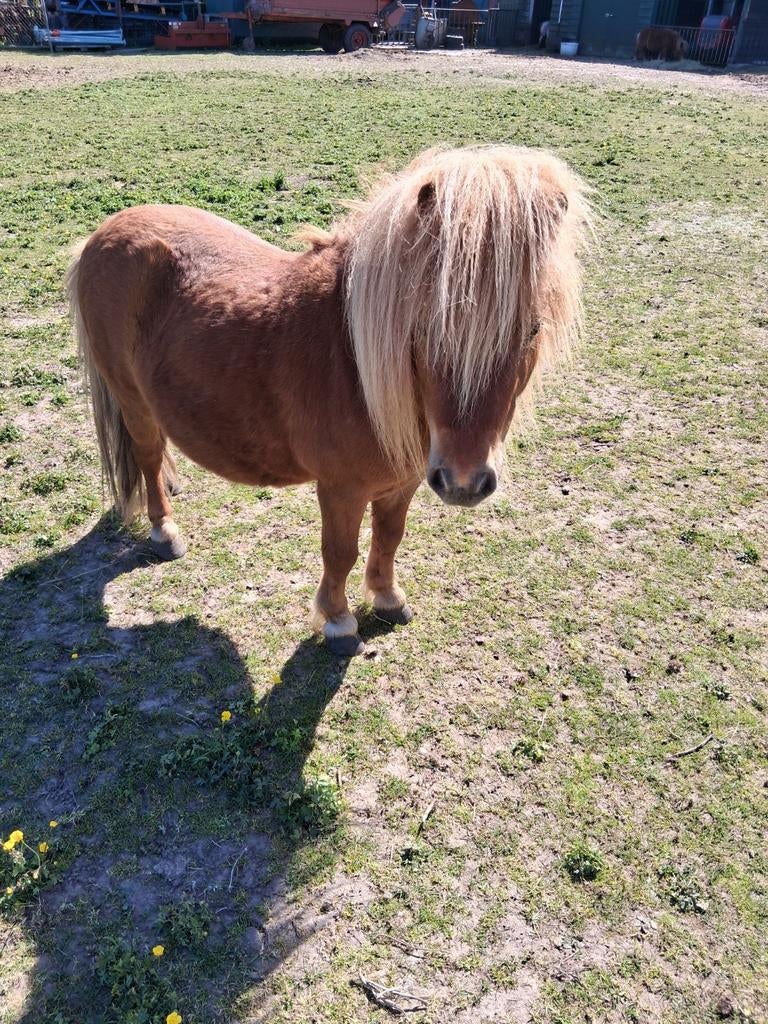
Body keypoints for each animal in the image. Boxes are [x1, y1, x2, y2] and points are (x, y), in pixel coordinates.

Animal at [68, 145, 590, 656]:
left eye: (533, 330)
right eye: (425, 328)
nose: (464, 483)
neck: (356, 362)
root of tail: (103, 234)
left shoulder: (402, 483)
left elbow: (389, 537)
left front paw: (387, 598)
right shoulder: (341, 490)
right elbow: (340, 552)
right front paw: (339, 624)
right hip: (132, 399)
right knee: (149, 454)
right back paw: (165, 531)